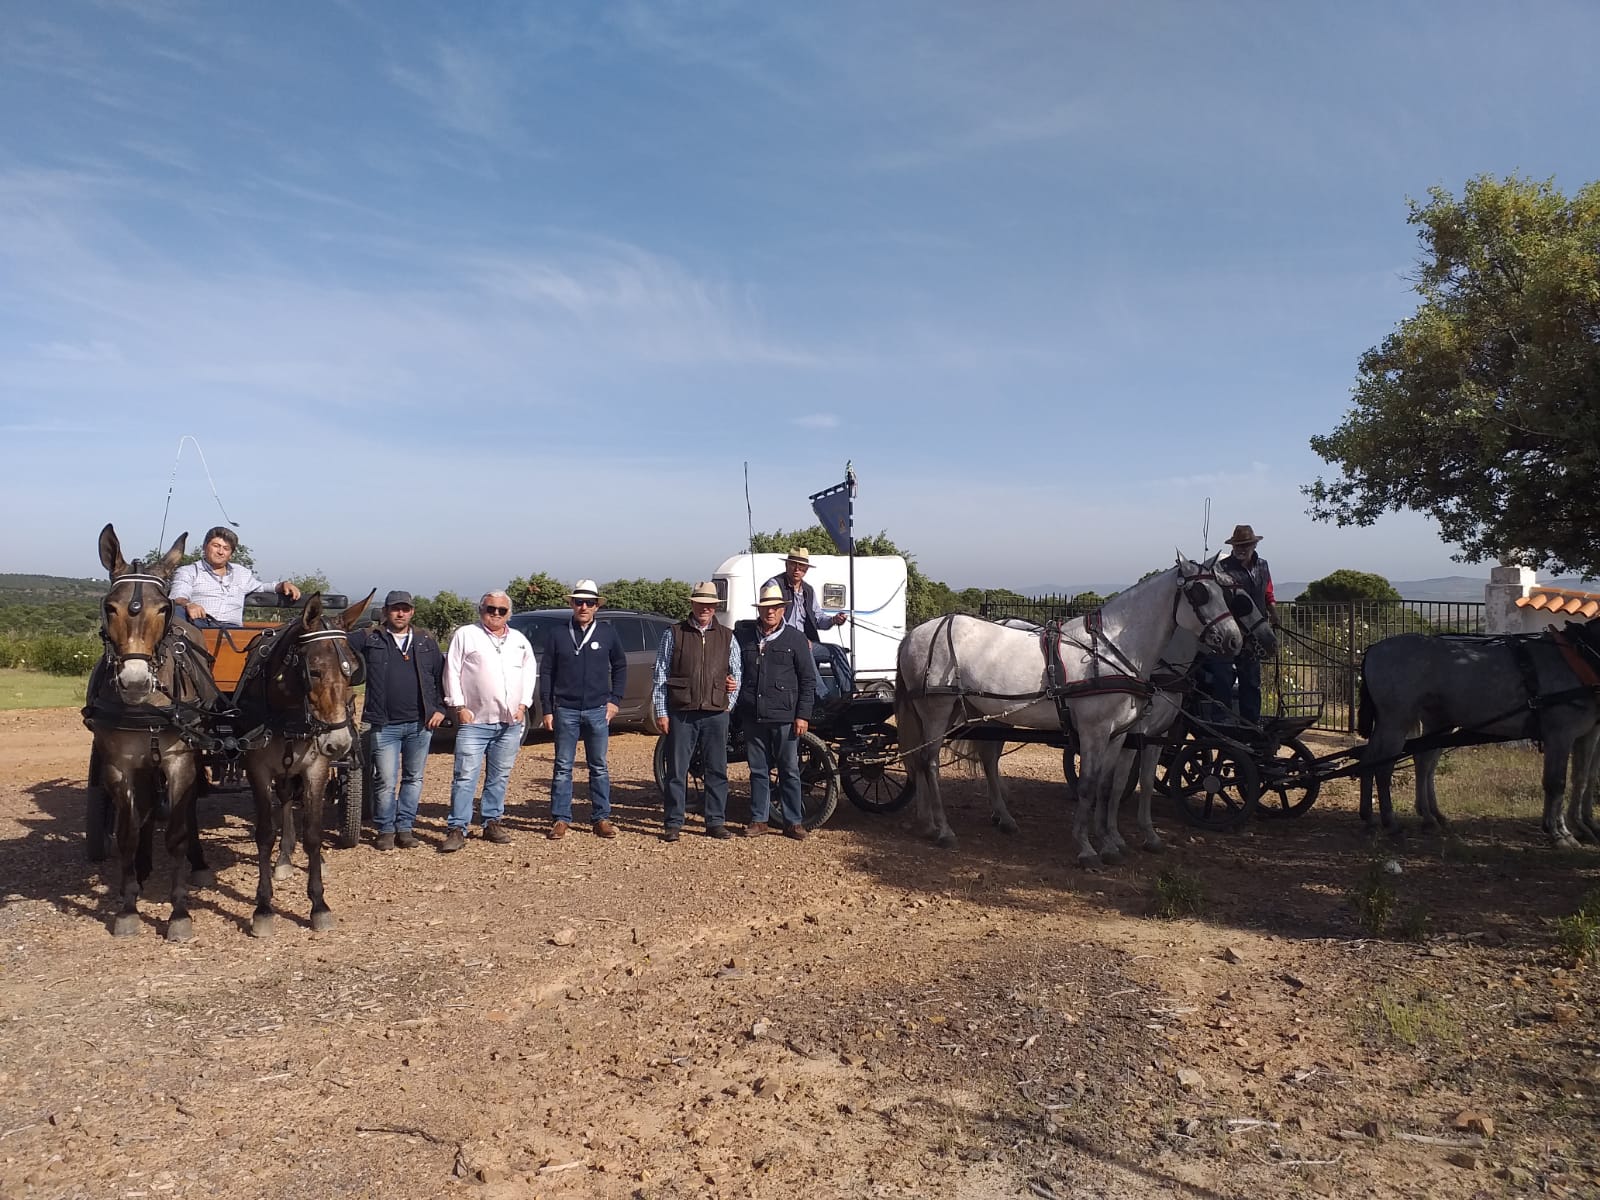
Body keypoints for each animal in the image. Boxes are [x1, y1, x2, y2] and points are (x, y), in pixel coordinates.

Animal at [896, 553, 1241, 864]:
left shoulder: (1119, 735)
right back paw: (943, 830)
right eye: (1201, 593)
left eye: (1225, 593)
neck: (1111, 651)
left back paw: (941, 821)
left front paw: (1109, 842)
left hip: (965, 709)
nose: (1234, 640)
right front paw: (1087, 847)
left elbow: (1106, 785)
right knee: (929, 762)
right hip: (937, 709)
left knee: (958, 758)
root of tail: (915, 634)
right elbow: (1088, 785)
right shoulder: (1094, 731)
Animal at [1356, 630, 1600, 844]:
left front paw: (1580, 827)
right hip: (1395, 722)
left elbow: (1582, 778)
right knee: (1384, 767)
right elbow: (1556, 783)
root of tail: (1374, 648)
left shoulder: (1587, 734)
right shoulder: (1560, 735)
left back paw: (1381, 816)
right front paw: (1559, 833)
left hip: (1429, 723)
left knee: (1387, 761)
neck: (1577, 657)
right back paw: (1391, 821)